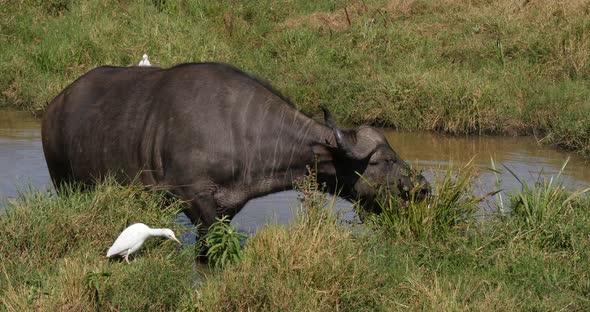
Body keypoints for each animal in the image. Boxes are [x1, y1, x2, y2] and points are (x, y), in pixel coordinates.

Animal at [41, 62, 430, 234]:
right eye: (384, 160)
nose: (422, 188)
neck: (239, 132)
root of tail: (53, 108)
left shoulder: (227, 208)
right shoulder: (196, 201)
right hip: (65, 185)